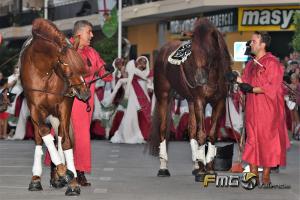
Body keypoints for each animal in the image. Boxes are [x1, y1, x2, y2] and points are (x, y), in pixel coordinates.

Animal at [20, 18, 90, 195]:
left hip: (56, 112)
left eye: (80, 63)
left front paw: (71, 181)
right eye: (65, 63)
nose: (85, 93)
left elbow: (65, 140)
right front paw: (62, 171)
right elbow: (44, 133)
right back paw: (37, 178)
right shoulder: (35, 108)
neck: (43, 71)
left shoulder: (64, 105)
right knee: (40, 138)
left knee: (59, 136)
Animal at [152, 18, 232, 180]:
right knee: (163, 129)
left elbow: (211, 134)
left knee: (192, 130)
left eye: (209, 50)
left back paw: (197, 164)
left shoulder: (219, 102)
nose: (199, 79)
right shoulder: (200, 100)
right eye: (193, 51)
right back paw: (163, 168)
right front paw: (202, 171)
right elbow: (202, 134)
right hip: (164, 96)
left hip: (190, 101)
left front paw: (208, 168)